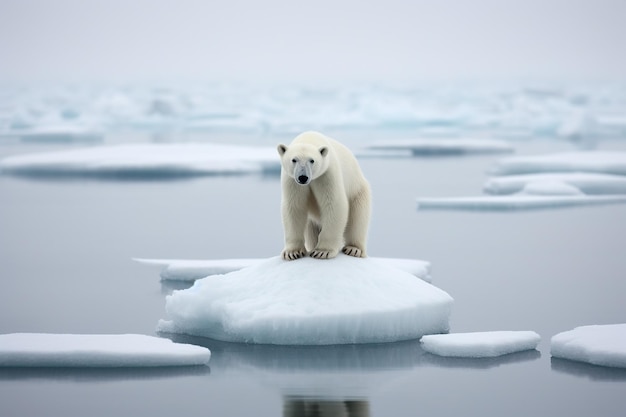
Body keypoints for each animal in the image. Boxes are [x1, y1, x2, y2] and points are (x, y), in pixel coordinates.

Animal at [276, 131, 368, 260]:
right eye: (294, 160)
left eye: (312, 160)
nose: (303, 177)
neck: (310, 138)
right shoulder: (291, 180)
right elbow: (294, 207)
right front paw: (292, 252)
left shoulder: (326, 174)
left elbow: (333, 204)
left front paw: (322, 251)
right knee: (311, 229)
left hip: (358, 192)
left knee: (357, 220)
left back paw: (354, 249)